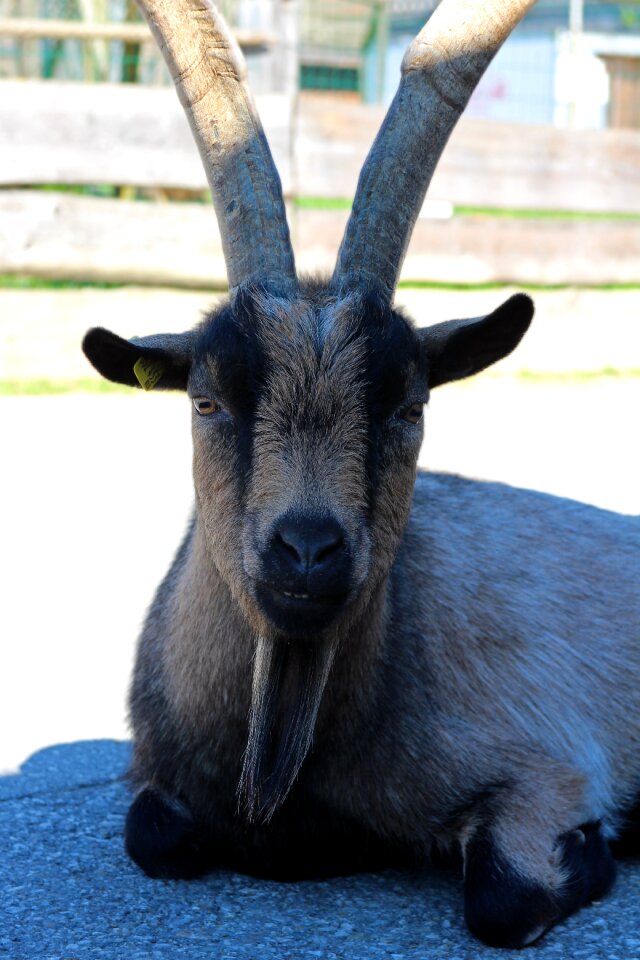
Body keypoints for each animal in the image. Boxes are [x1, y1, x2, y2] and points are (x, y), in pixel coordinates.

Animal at [82, 0, 636, 944]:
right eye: (207, 400)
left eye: (409, 407)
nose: (307, 550)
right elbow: (153, 833)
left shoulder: (551, 757)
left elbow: (505, 897)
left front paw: (592, 852)